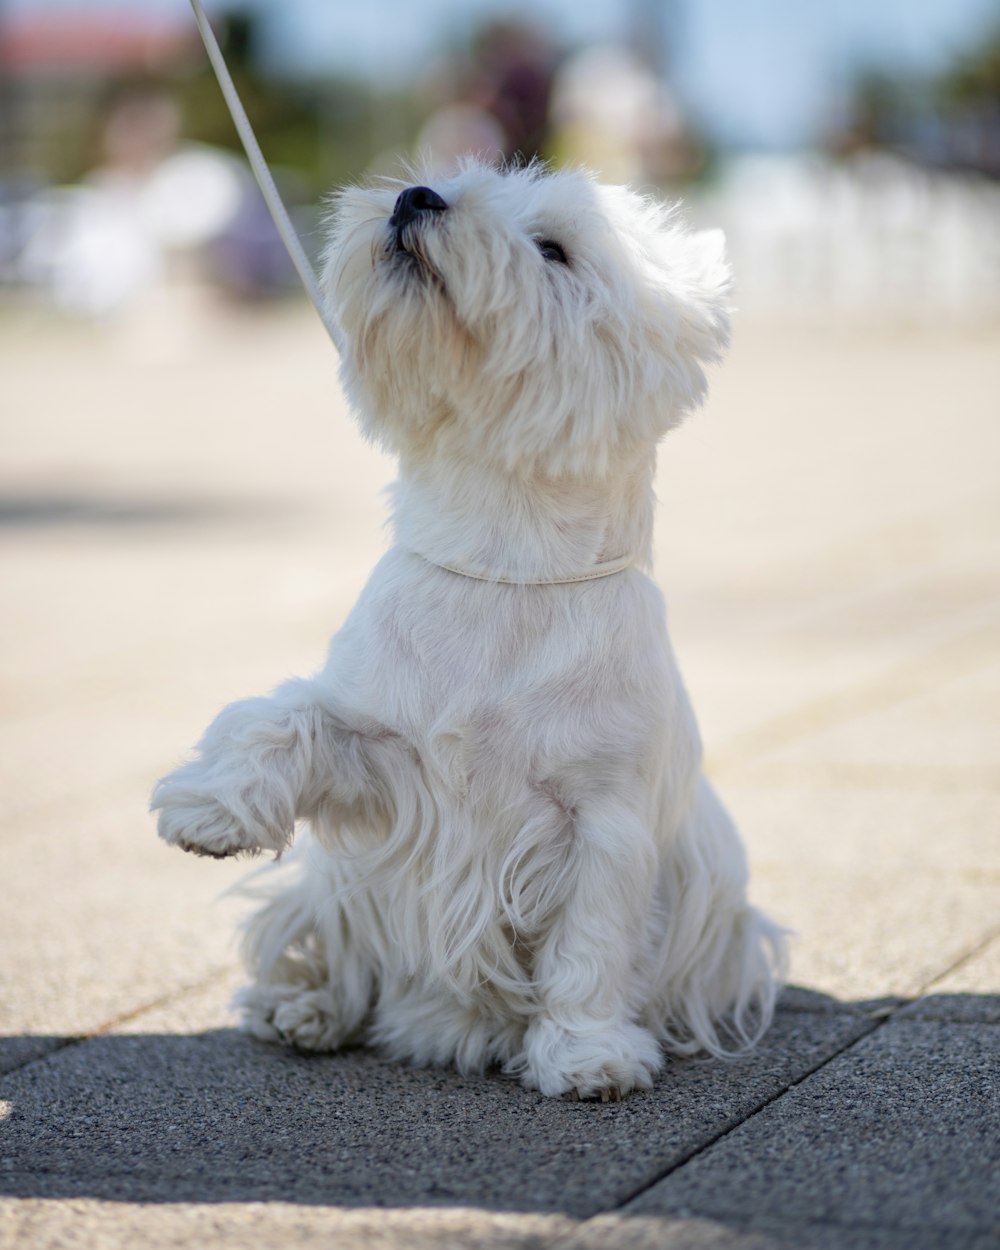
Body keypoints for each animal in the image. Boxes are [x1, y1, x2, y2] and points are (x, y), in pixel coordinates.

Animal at [152, 161, 785, 1100]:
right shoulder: (378, 755)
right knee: (325, 942)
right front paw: (206, 813)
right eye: (456, 177)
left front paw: (589, 1056)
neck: (506, 560)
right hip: (332, 884)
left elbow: (592, 942)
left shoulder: (602, 818)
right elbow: (279, 718)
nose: (417, 197)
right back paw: (302, 1009)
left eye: (554, 248)